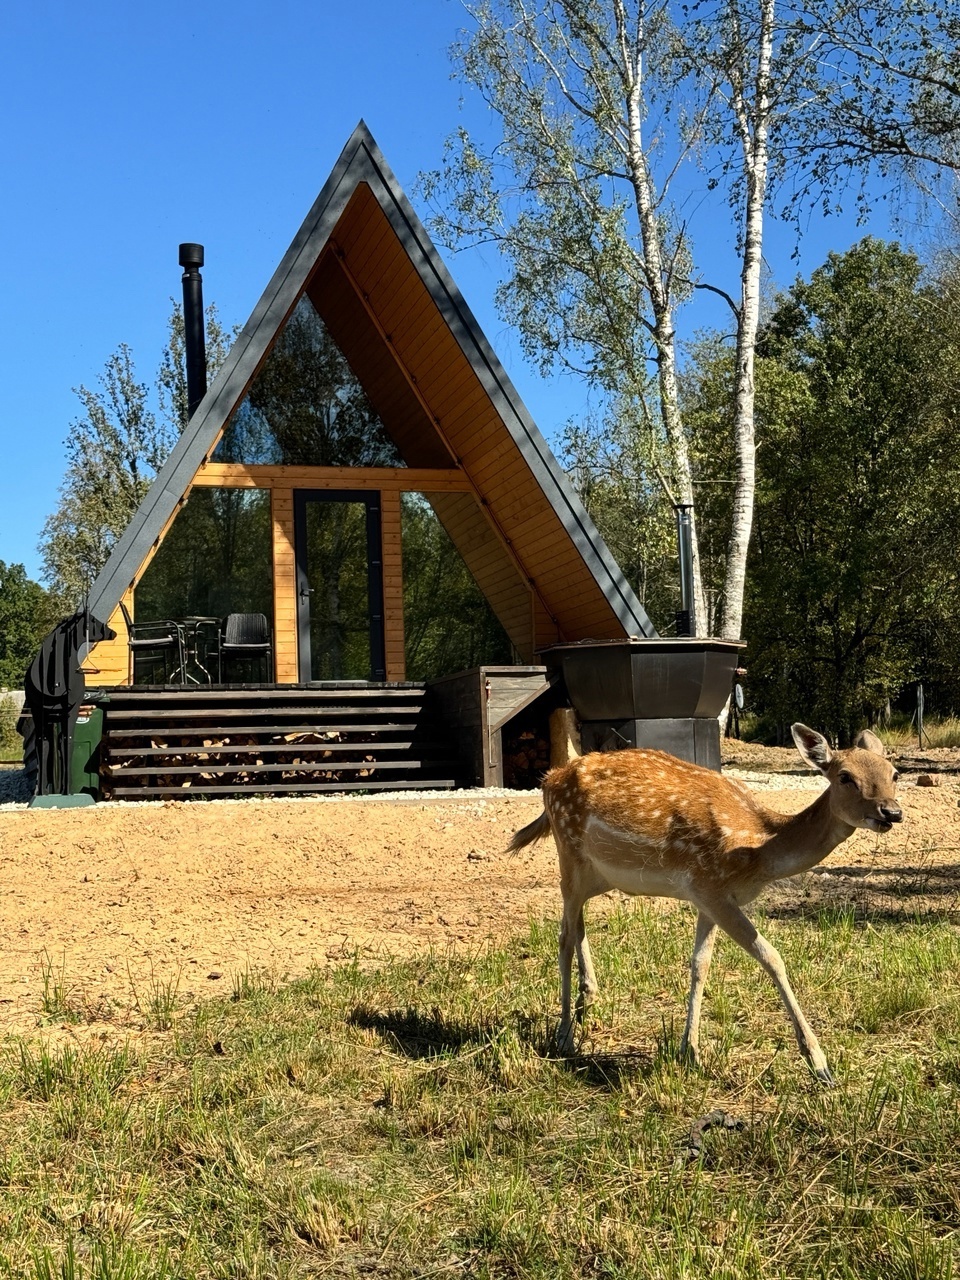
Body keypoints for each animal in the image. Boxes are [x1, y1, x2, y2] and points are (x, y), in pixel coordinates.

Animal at [512, 721, 901, 1080]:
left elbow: (700, 964)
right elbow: (772, 957)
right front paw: (819, 1064)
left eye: (894, 773)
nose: (891, 812)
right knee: (563, 936)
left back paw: (587, 1000)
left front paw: (691, 1052)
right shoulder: (711, 888)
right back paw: (564, 1036)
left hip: (598, 874)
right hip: (569, 854)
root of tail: (548, 780)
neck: (758, 849)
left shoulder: (708, 897)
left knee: (575, 924)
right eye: (845, 777)